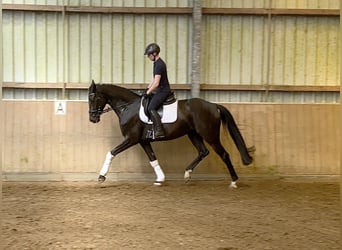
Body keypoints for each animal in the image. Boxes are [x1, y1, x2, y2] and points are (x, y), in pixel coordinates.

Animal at [88, 80, 254, 188]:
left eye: (93, 98)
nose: (92, 119)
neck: (128, 107)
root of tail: (214, 106)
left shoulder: (132, 139)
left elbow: (111, 153)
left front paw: (101, 176)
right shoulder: (143, 141)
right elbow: (152, 159)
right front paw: (160, 179)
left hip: (210, 136)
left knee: (224, 154)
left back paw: (233, 181)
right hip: (193, 134)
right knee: (203, 152)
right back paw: (187, 174)